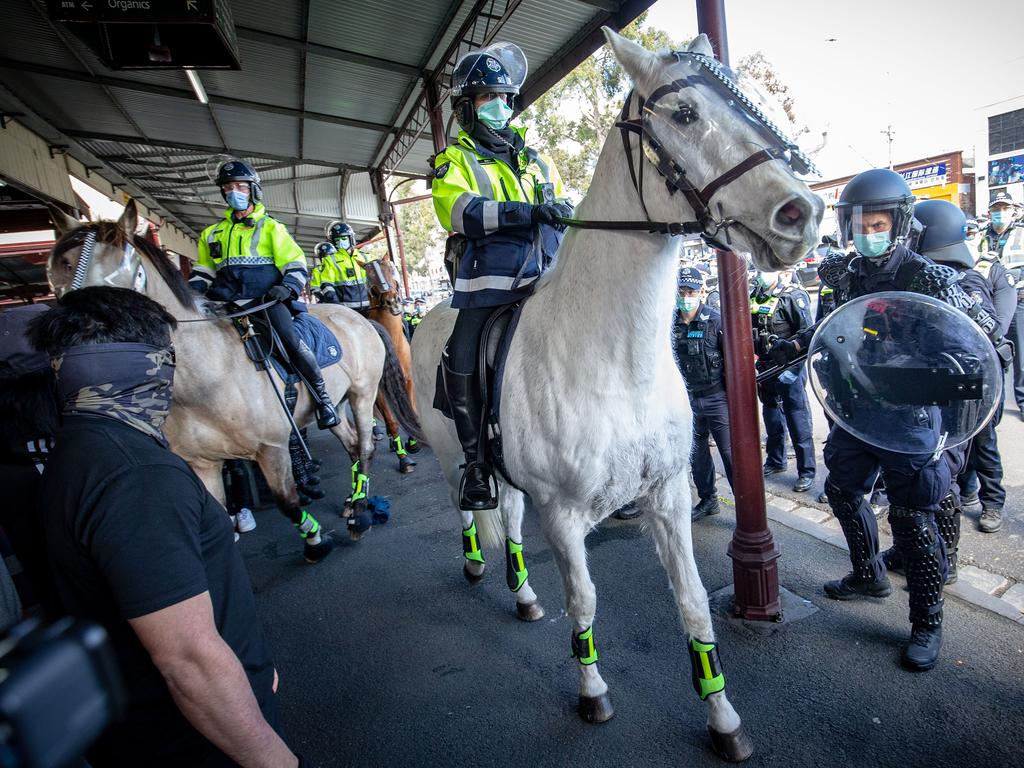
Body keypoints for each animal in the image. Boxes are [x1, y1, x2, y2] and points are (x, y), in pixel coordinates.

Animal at [47, 202, 423, 565]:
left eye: (126, 269)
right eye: (59, 267)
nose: (71, 339)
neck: (205, 375)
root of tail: (358, 318)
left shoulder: (272, 447)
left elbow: (287, 501)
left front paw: (316, 541)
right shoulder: (202, 463)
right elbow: (220, 517)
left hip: (363, 393)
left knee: (365, 447)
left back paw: (360, 512)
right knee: (352, 445)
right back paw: (351, 500)